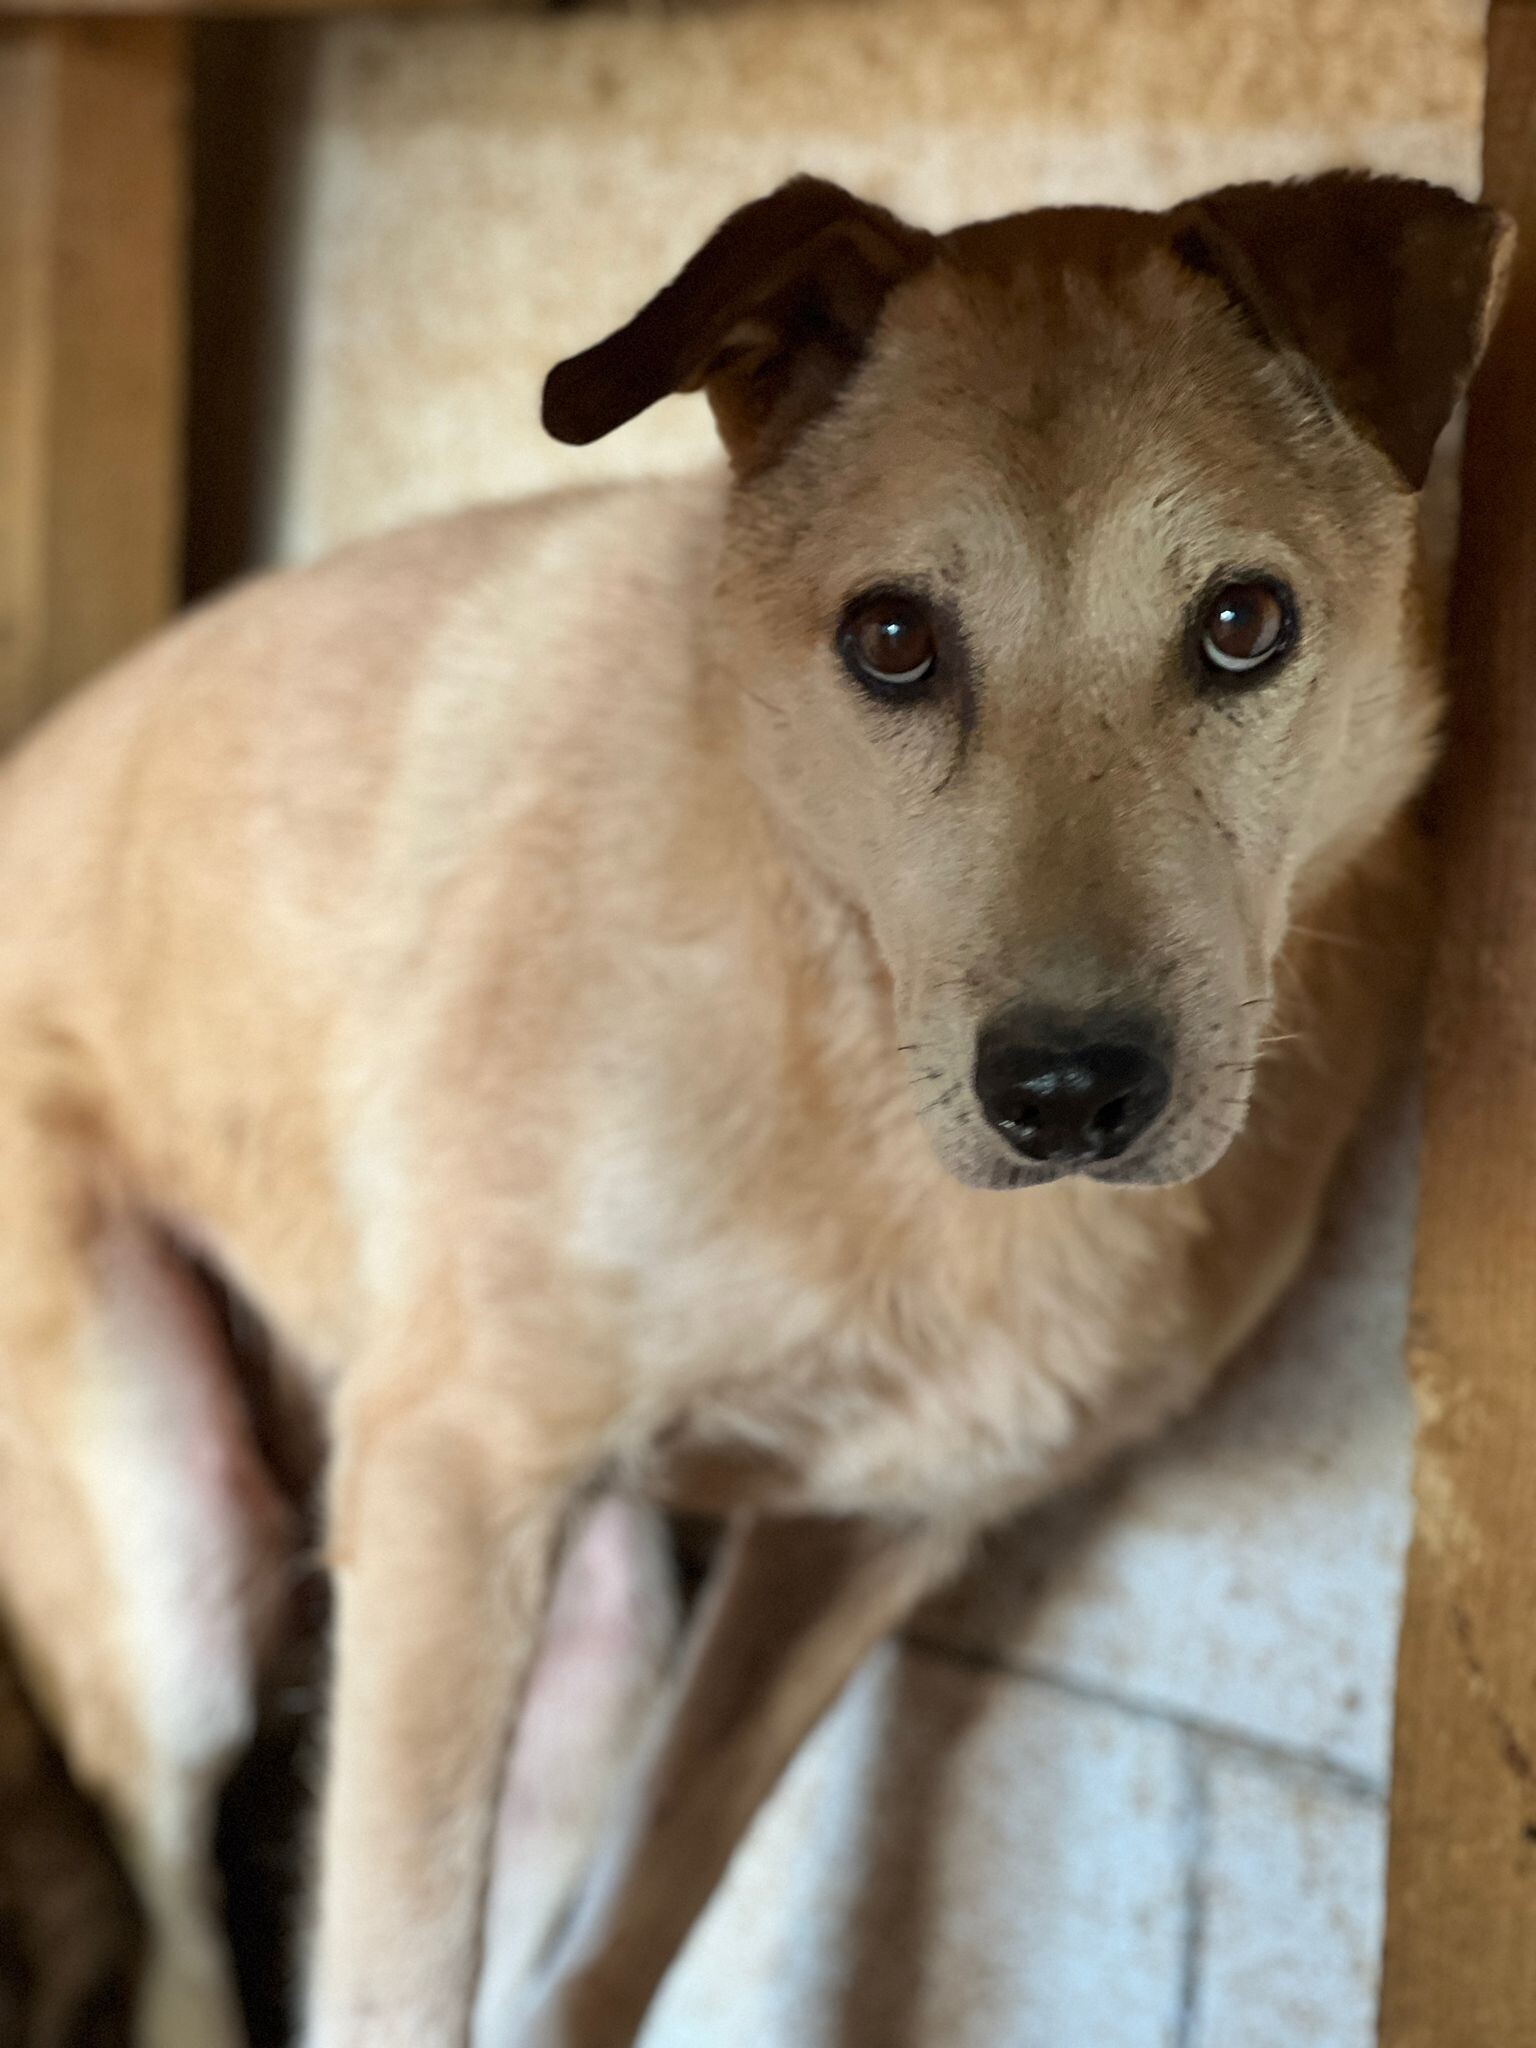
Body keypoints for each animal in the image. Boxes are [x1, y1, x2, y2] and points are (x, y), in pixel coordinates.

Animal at [0, 169, 1510, 2048]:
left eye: (1243, 622)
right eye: (891, 639)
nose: (1069, 1093)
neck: (840, 996)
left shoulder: (850, 1544)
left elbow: (631, 1926)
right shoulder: (451, 1480)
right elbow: (391, 1983)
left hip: (592, 1641)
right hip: (171, 1554)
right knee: (178, 1909)